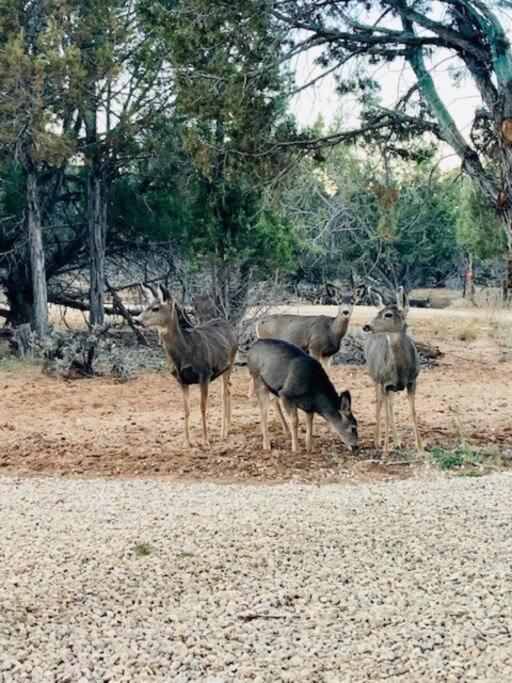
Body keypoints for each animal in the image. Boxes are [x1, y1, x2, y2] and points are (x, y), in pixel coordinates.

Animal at [137, 284, 239, 448]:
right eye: (147, 305)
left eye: (156, 308)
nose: (137, 320)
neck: (185, 352)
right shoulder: (181, 380)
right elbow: (186, 409)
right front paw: (186, 442)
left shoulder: (204, 374)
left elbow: (203, 407)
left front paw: (205, 441)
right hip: (224, 368)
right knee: (229, 388)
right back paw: (228, 426)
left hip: (230, 362)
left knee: (224, 394)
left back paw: (223, 433)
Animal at [364, 286, 424, 456]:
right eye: (378, 312)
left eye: (388, 315)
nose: (366, 326)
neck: (401, 371)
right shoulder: (385, 383)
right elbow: (384, 411)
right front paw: (385, 452)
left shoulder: (412, 381)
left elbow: (413, 411)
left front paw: (420, 448)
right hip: (375, 377)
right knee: (379, 403)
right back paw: (377, 441)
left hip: (392, 387)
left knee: (390, 405)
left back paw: (397, 442)